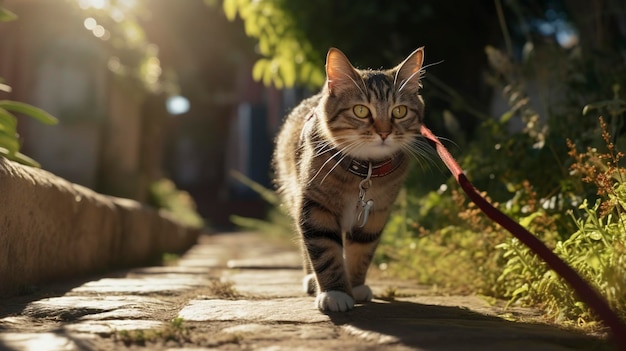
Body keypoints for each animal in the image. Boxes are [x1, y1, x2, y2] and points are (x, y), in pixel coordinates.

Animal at [272, 46, 424, 314]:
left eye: (399, 111)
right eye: (361, 110)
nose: (384, 132)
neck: (365, 170)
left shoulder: (375, 213)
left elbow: (361, 251)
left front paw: (355, 286)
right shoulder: (315, 206)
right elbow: (325, 250)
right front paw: (335, 293)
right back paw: (311, 279)